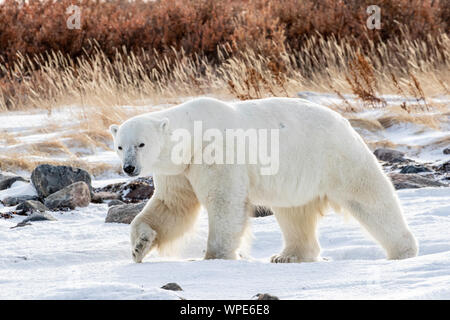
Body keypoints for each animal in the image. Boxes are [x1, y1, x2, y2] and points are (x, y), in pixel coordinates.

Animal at [110, 97, 418, 262]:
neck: (193, 134)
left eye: (141, 144)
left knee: (371, 197)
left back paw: (403, 251)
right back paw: (289, 255)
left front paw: (214, 257)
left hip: (335, 158)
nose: (129, 168)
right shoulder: (179, 170)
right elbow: (173, 205)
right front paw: (139, 246)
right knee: (294, 214)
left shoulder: (216, 153)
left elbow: (223, 201)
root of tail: (345, 122)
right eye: (120, 145)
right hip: (298, 175)